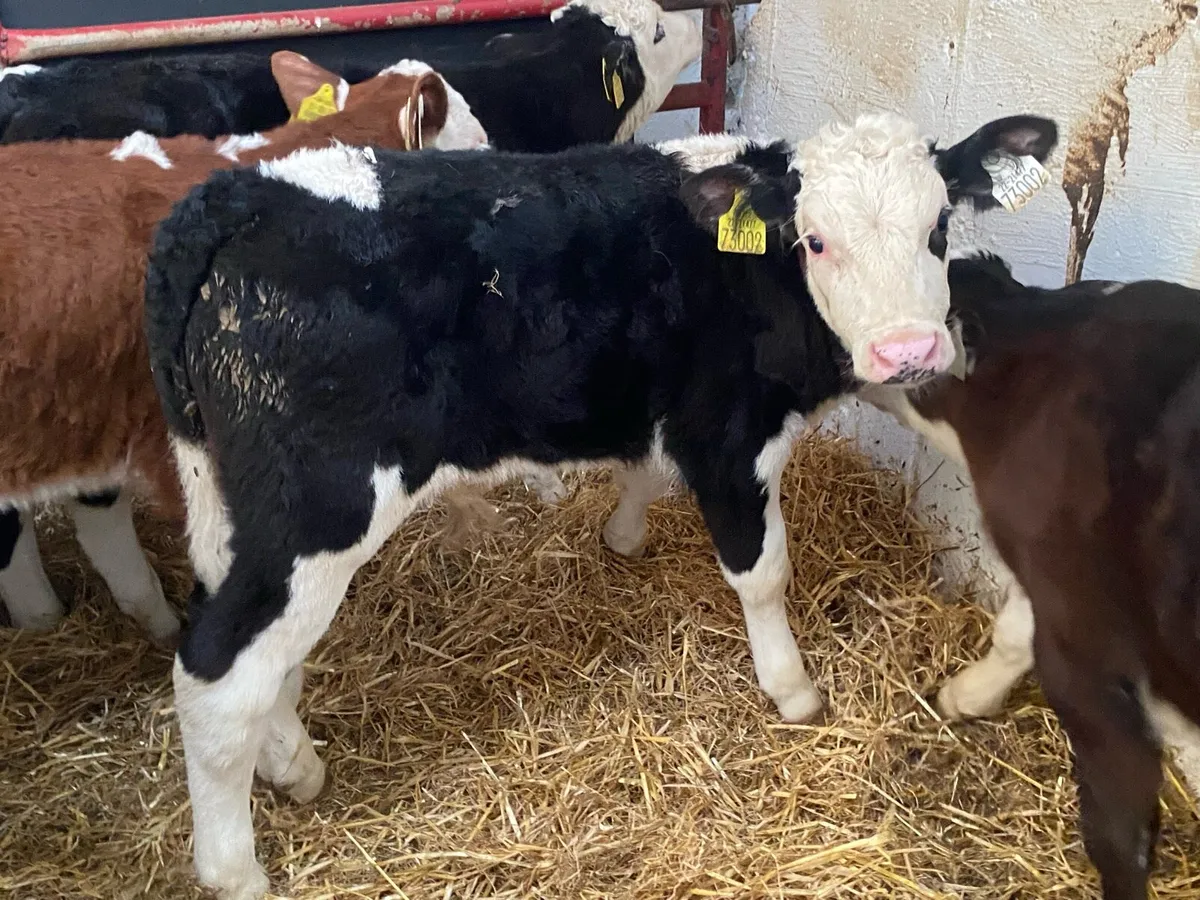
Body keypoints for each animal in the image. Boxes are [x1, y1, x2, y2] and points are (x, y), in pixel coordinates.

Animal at [142, 112, 1057, 898]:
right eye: (816, 239)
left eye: (938, 228)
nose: (909, 350)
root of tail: (235, 196)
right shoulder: (726, 437)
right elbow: (763, 573)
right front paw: (793, 691)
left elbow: (644, 475)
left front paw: (623, 535)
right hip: (318, 507)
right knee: (216, 672)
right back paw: (236, 870)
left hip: (228, 500)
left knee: (255, 646)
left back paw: (291, 764)